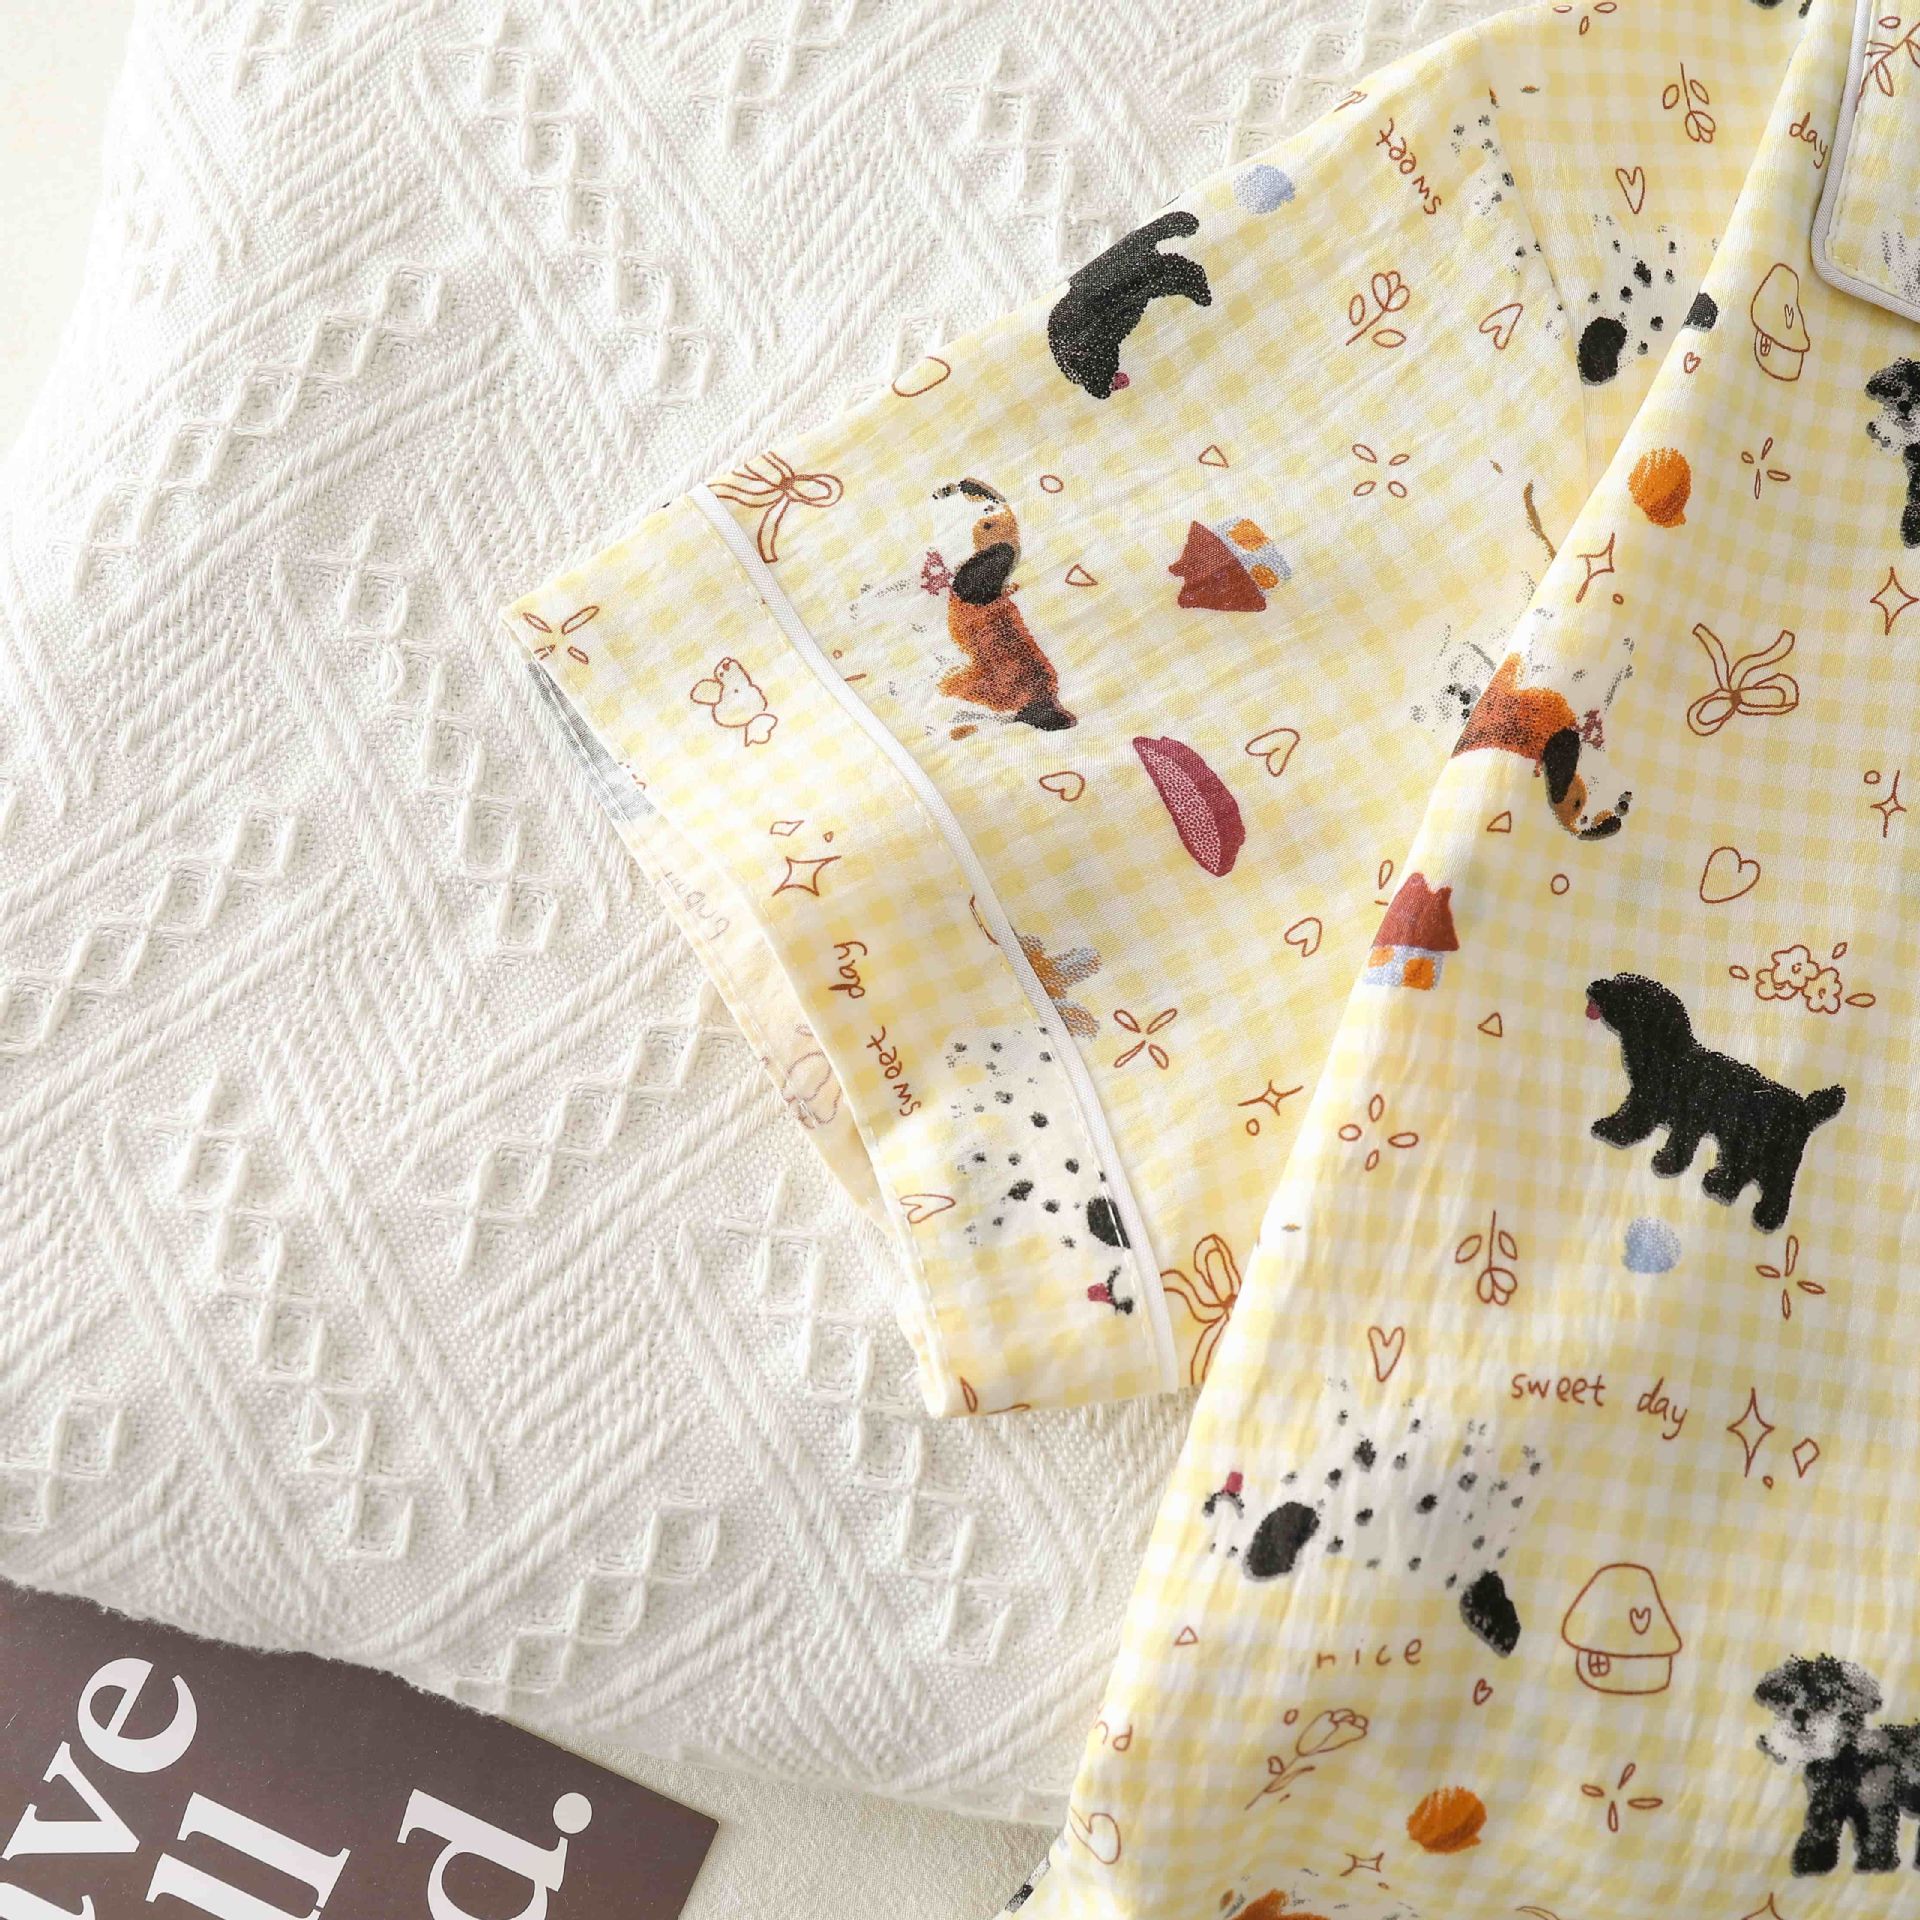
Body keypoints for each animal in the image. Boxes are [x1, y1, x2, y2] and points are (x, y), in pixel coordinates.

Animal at [1585, 973, 1845, 1232]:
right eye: (1617, 980)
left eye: (1627, 993)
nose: (1593, 985)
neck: (1671, 1057)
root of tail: (1804, 1110)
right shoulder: (1646, 1100)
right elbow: (1631, 1119)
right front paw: (1610, 1128)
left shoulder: (1683, 1115)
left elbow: (1665, 1137)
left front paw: (1664, 1163)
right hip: (1743, 1145)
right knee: (1748, 1175)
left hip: (1766, 1151)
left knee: (1772, 1186)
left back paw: (1759, 1213)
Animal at [1755, 1655, 1920, 1874]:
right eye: (1788, 1697)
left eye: (1825, 1698)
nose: (1799, 1714)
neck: (1844, 1759)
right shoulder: (1824, 1803)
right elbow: (1819, 1830)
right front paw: (1812, 1862)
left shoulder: (1875, 1802)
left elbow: (1876, 1833)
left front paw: (1875, 1863)